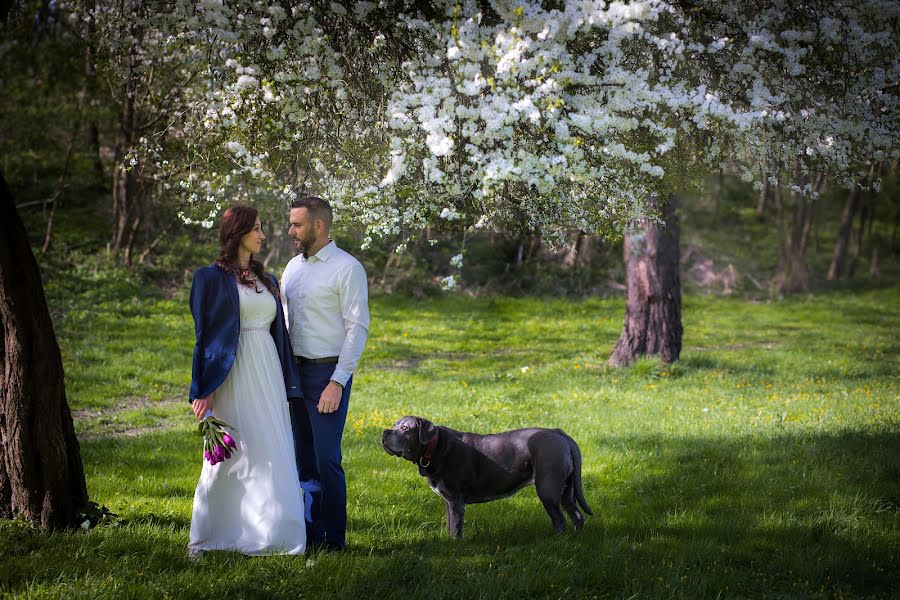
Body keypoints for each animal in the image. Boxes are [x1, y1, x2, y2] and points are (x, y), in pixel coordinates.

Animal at [380, 414, 592, 536]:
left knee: (560, 520)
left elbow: (456, 529)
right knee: (576, 516)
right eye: (394, 425)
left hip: (547, 489)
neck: (434, 447)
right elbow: (449, 525)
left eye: (405, 429)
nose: (385, 431)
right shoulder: (448, 500)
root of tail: (559, 433)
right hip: (565, 490)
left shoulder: (456, 501)